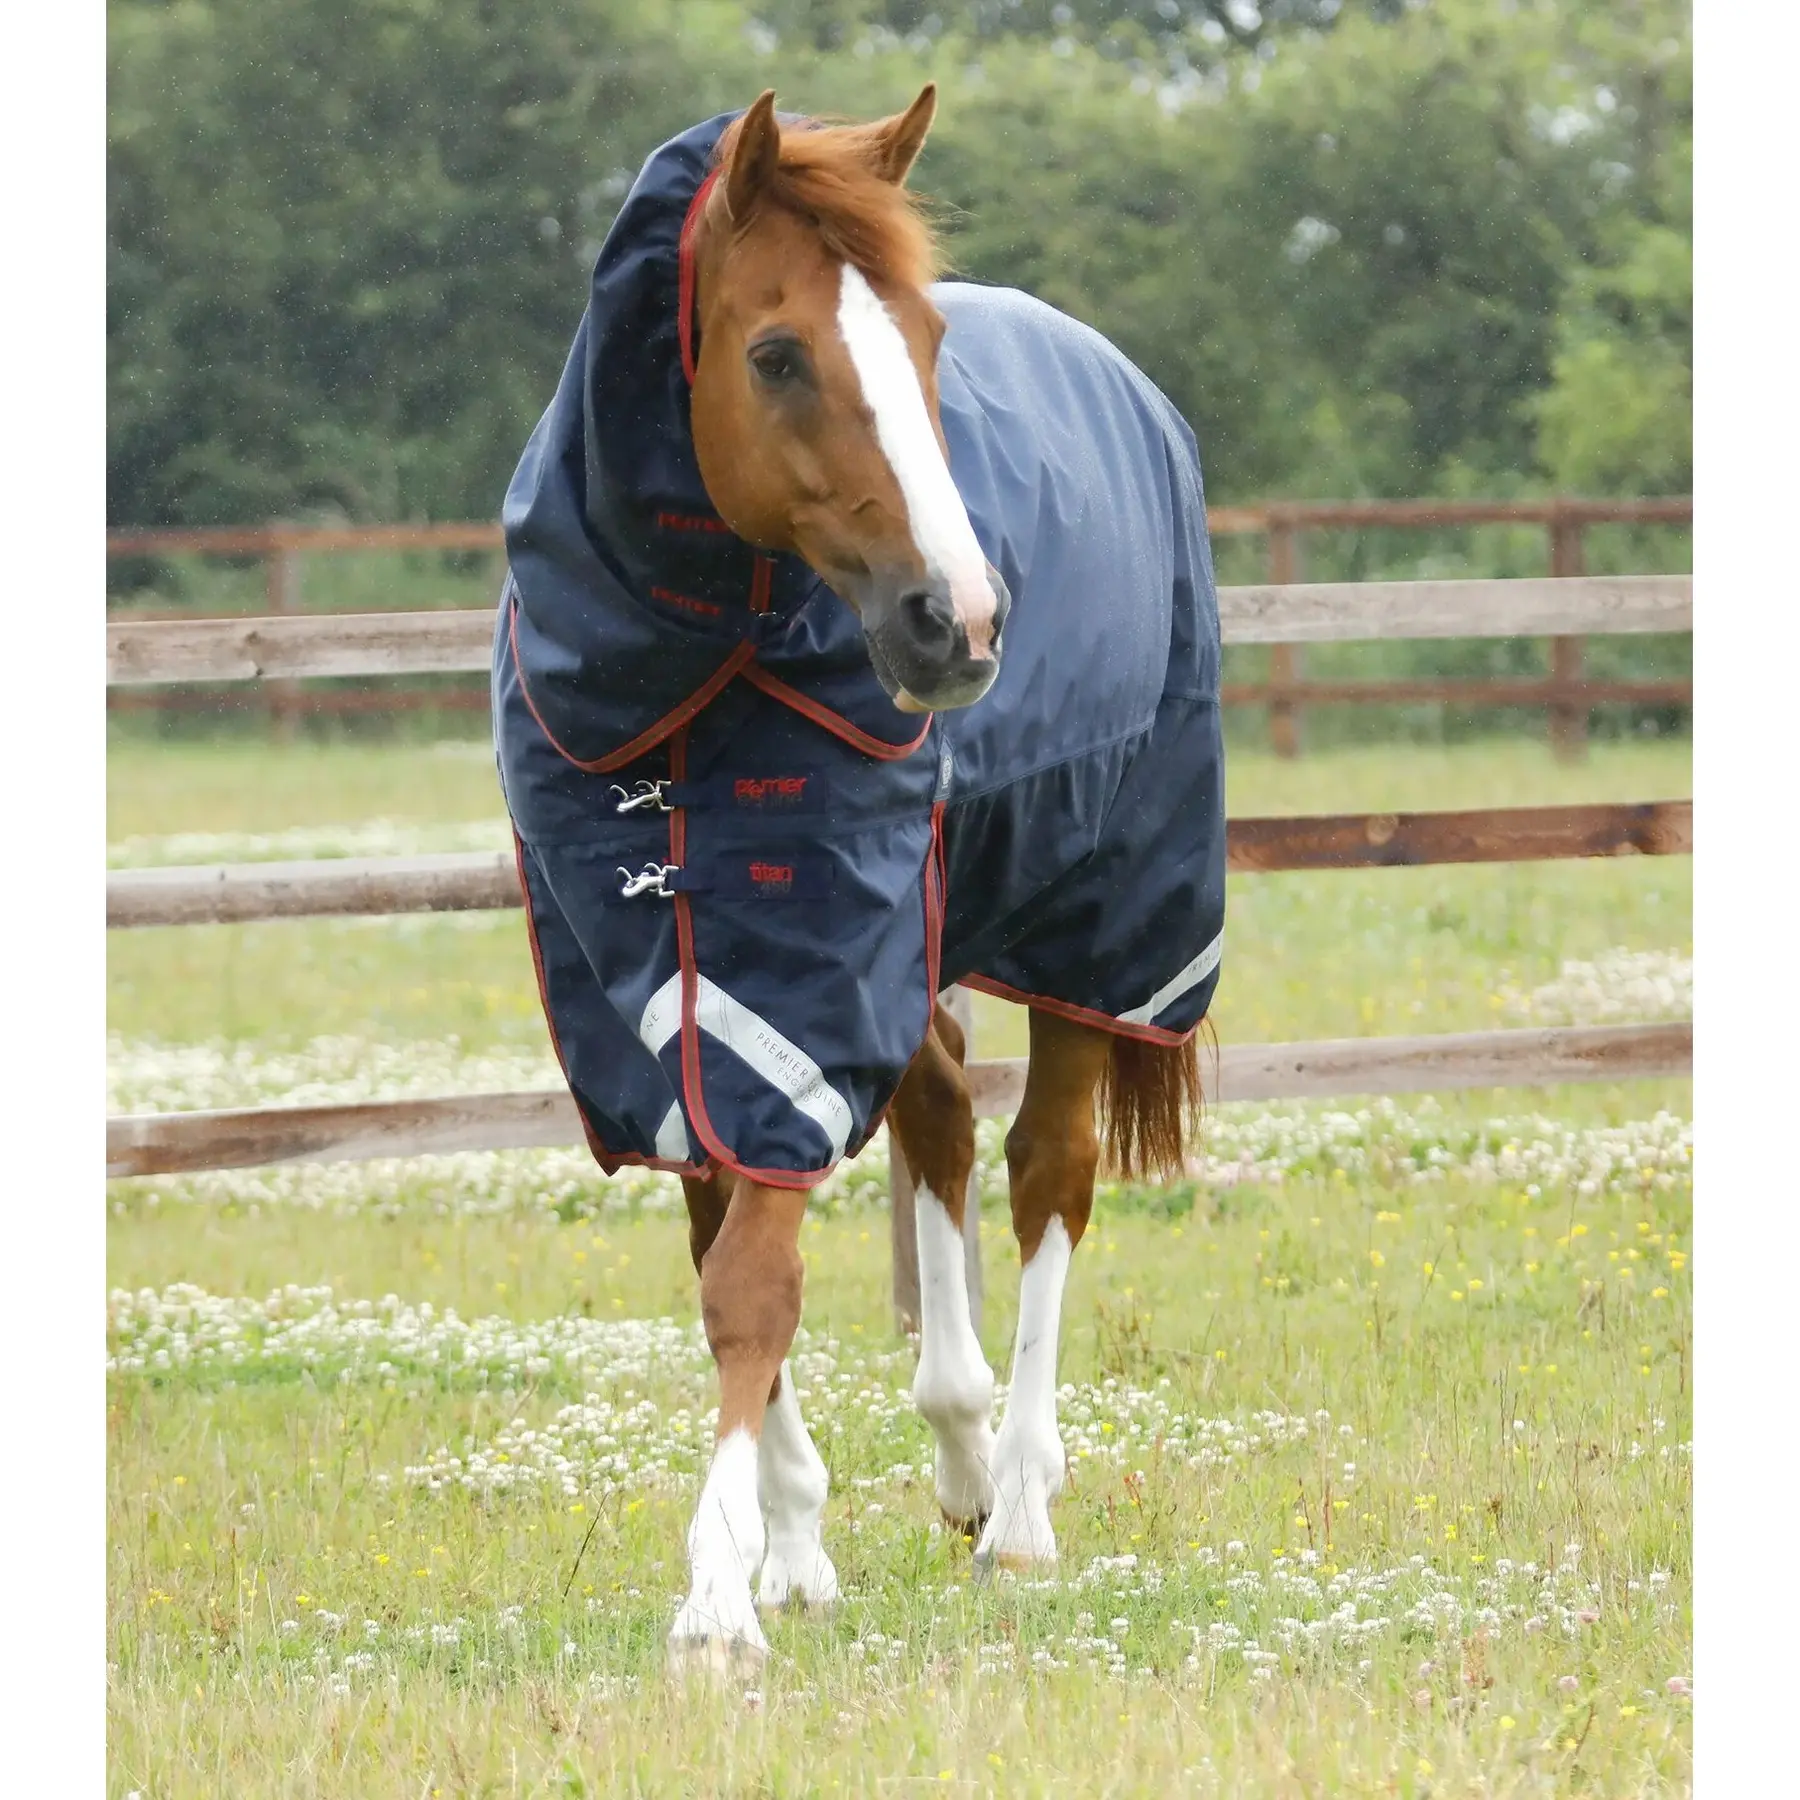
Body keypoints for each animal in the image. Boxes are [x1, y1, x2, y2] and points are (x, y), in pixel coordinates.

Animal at [493, 87, 1225, 1671]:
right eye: (776, 353)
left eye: (928, 343)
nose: (961, 620)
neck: (689, 694)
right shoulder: (671, 1001)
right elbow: (725, 1245)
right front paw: (790, 1550)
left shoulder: (810, 970)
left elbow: (752, 1281)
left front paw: (714, 1596)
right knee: (942, 1119)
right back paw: (960, 1458)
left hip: (1097, 921)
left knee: (1047, 1171)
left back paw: (1020, 1511)